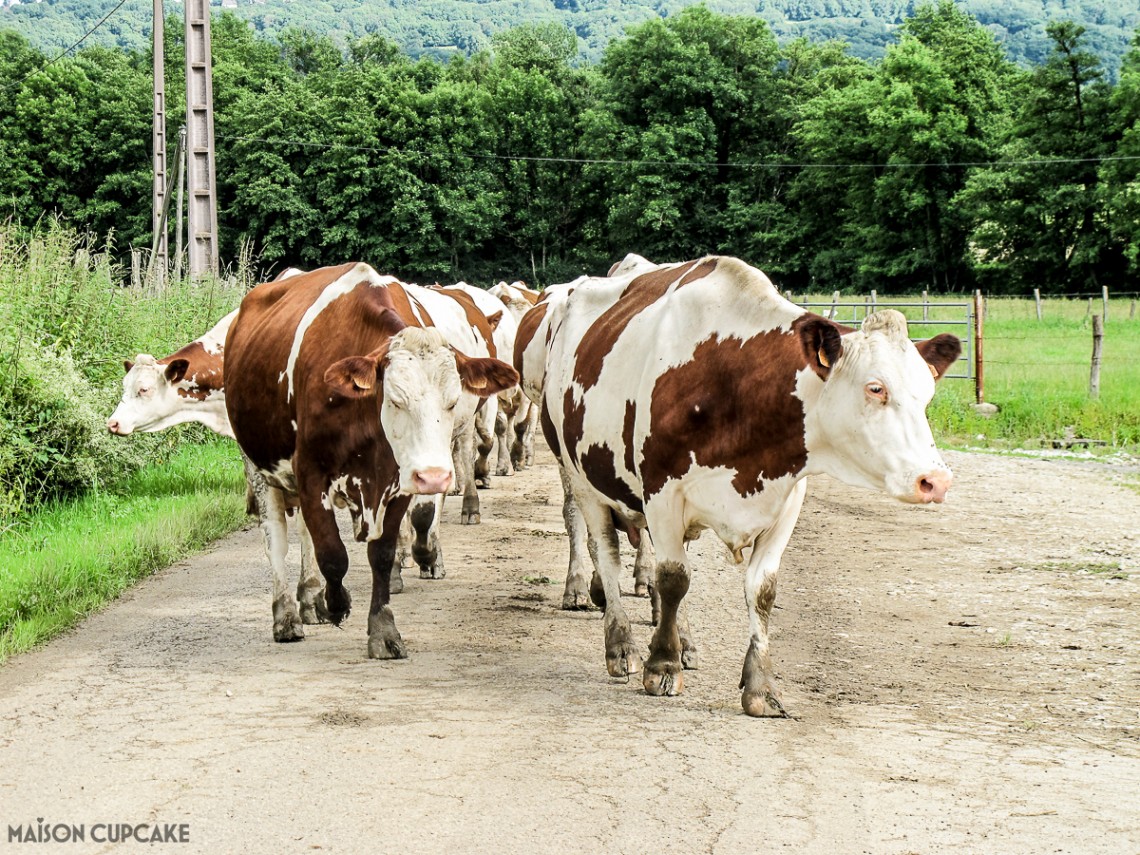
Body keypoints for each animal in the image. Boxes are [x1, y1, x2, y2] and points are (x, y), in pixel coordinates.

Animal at [224, 263, 517, 657]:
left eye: (453, 401)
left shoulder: (397, 483)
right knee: (276, 539)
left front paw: (383, 629)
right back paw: (286, 616)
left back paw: (310, 598)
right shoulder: (311, 473)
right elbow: (332, 553)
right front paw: (336, 603)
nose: (434, 476)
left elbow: (382, 551)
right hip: (258, 465)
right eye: (395, 400)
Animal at [516, 255, 961, 716]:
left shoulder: (786, 499)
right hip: (580, 475)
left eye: (928, 393)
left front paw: (760, 686)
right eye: (875, 387)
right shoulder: (661, 491)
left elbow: (760, 590)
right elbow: (672, 577)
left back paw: (685, 641)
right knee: (603, 551)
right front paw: (661, 665)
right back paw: (620, 645)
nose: (936, 480)